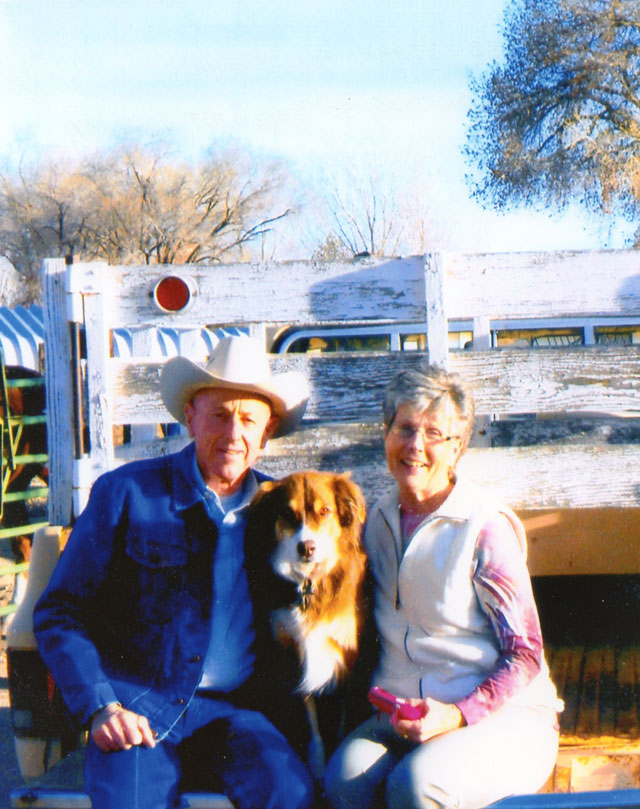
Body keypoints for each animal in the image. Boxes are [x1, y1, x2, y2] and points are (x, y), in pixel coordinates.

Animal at [245, 471, 367, 777]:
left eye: (325, 512)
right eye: (288, 514)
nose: (307, 548)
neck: (310, 585)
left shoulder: (348, 658)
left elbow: (343, 721)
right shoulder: (293, 656)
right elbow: (310, 721)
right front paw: (318, 764)